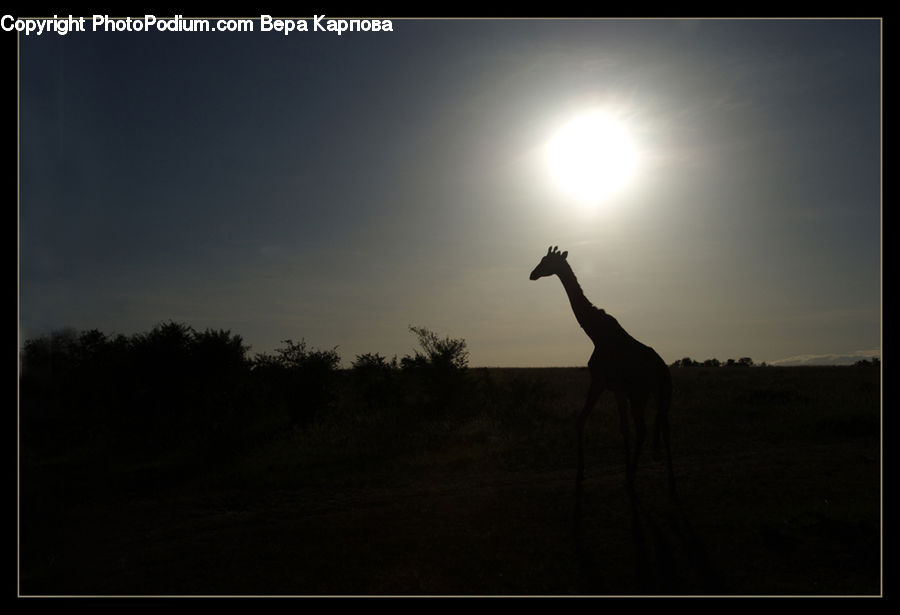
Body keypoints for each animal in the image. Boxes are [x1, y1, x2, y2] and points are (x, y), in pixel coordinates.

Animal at [530, 246, 674, 495]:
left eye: (547, 261)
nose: (532, 274)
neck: (594, 333)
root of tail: (664, 371)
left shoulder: (598, 381)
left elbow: (580, 421)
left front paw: (580, 474)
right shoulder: (616, 389)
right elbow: (623, 429)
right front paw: (623, 470)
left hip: (640, 394)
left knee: (644, 429)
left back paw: (634, 477)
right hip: (656, 393)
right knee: (662, 425)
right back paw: (667, 475)